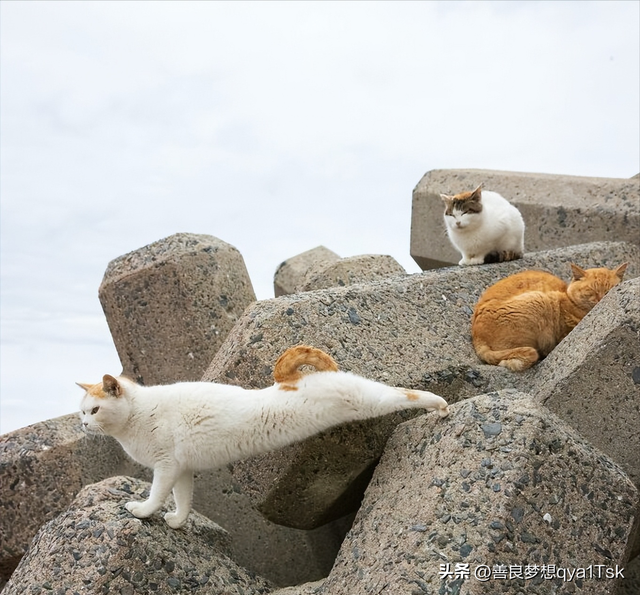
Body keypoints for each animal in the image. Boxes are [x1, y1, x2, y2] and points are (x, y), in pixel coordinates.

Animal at [79, 346, 450, 528]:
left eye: (94, 410)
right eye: (81, 411)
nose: (82, 425)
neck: (137, 414)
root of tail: (293, 380)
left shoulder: (166, 466)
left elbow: (156, 495)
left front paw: (142, 511)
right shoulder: (182, 470)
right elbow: (183, 500)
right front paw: (177, 521)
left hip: (367, 400)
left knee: (405, 393)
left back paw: (440, 405)